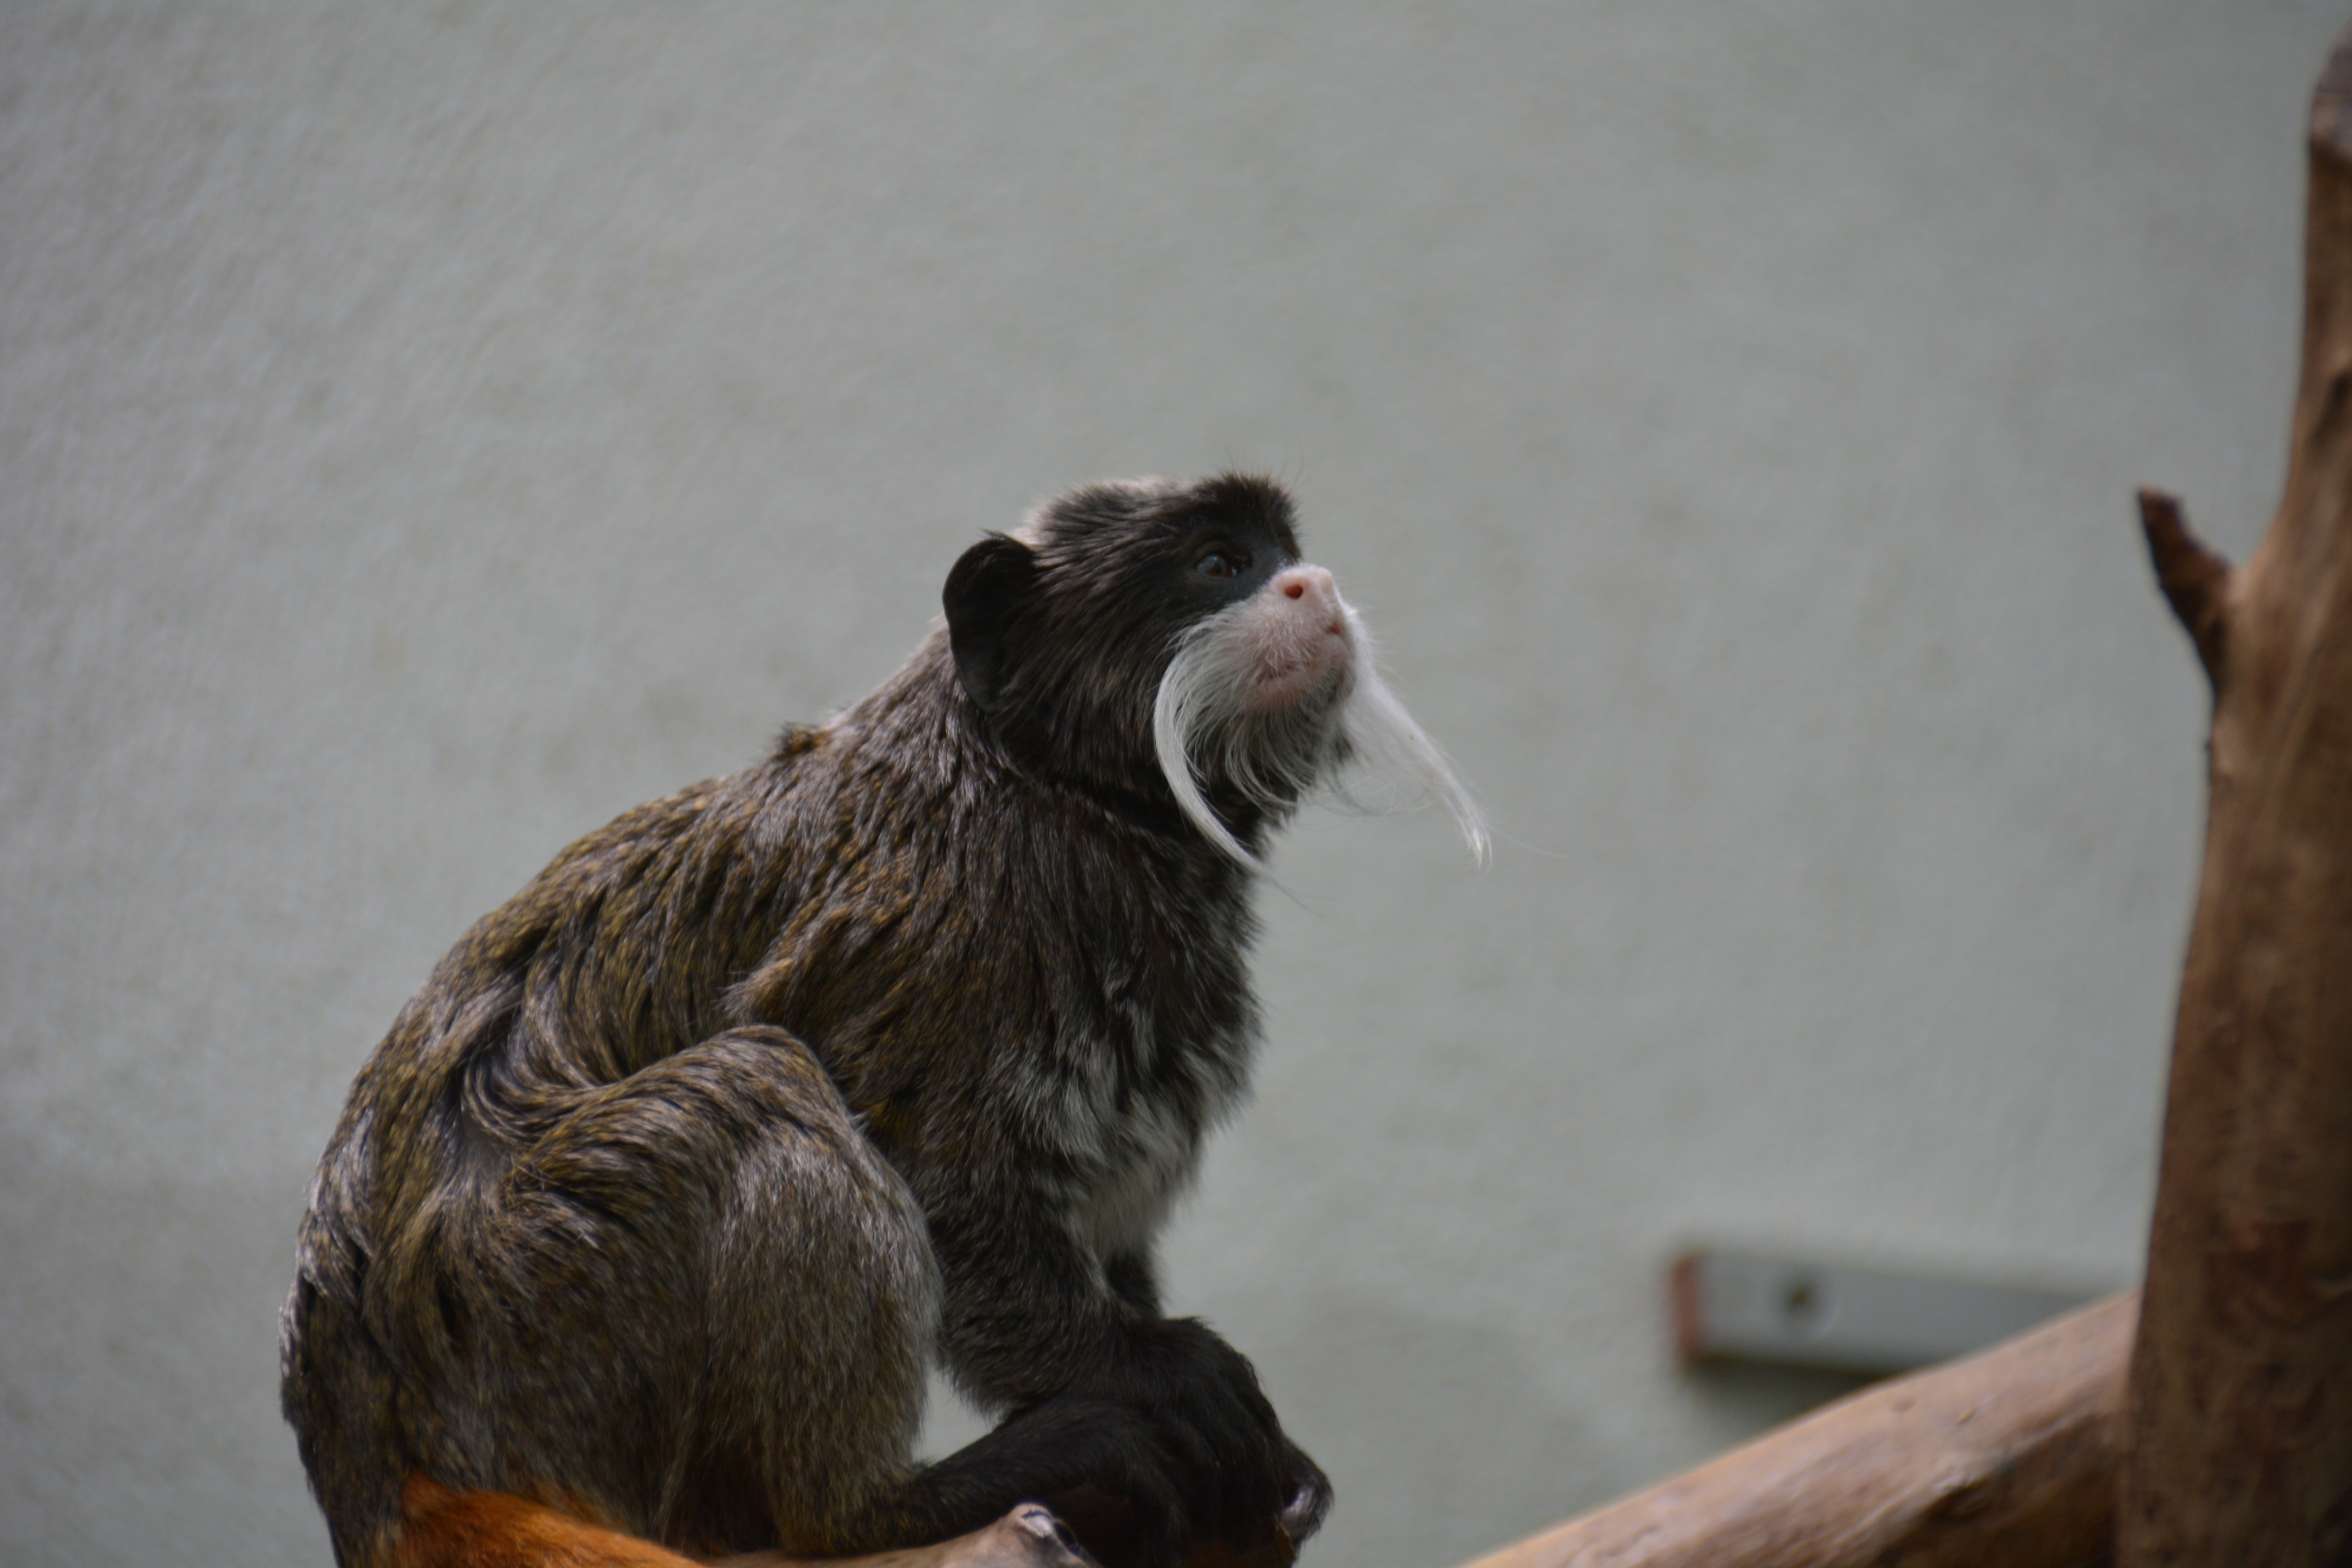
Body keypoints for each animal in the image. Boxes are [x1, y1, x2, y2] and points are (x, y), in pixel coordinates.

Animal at [280, 474, 1486, 1568]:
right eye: (1219, 564)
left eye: (1283, 549)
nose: (1312, 583)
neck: (1058, 790)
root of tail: (362, 1446)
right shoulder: (948, 928)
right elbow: (950, 1194)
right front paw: (1158, 1373)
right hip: (524, 1299)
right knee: (754, 1087)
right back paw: (884, 1505)